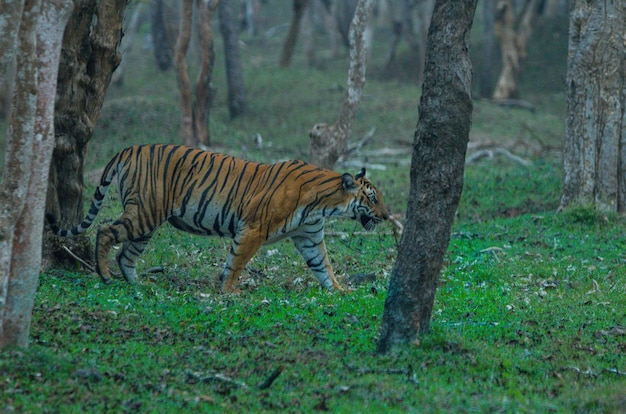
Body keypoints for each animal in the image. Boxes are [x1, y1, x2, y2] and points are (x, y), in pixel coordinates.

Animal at [48, 144, 388, 292]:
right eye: (373, 198)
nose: (387, 216)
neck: (324, 204)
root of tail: (129, 148)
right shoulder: (253, 229)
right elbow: (236, 262)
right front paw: (230, 292)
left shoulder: (310, 237)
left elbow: (323, 266)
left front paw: (340, 291)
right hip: (143, 213)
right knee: (105, 231)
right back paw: (105, 275)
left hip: (146, 221)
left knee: (127, 254)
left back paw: (138, 285)